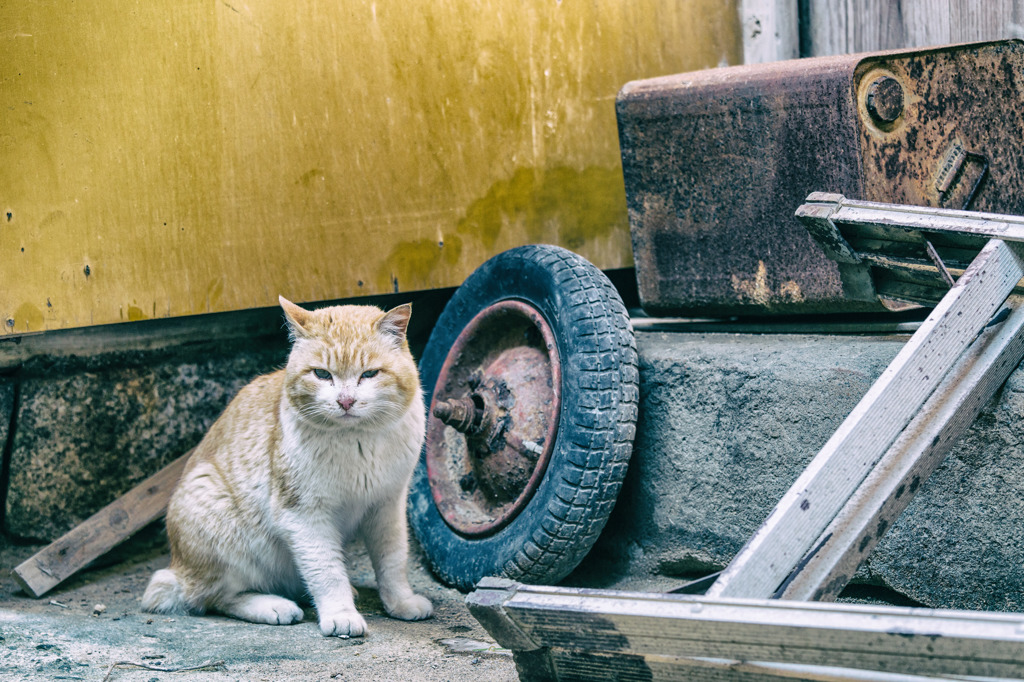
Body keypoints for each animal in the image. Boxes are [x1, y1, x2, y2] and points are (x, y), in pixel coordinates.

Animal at [141, 294, 432, 634]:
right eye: (322, 374)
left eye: (370, 374)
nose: (345, 401)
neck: (357, 440)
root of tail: (178, 568)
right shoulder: (304, 515)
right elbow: (326, 571)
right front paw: (341, 614)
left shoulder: (387, 506)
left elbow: (393, 560)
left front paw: (401, 602)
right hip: (215, 514)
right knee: (213, 597)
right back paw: (273, 606)